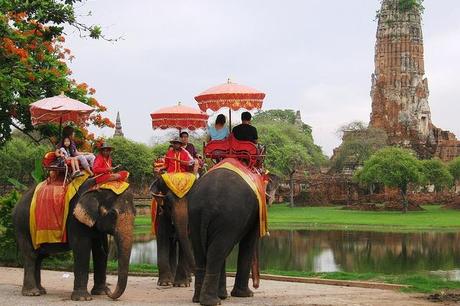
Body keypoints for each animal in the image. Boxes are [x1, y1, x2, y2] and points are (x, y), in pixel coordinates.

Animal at [184, 169, 274, 304]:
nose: (256, 285)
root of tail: (207, 207)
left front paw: (224, 295)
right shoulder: (256, 210)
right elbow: (249, 241)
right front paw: (246, 295)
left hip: (195, 216)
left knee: (203, 251)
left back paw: (198, 299)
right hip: (228, 218)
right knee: (217, 252)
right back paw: (213, 301)